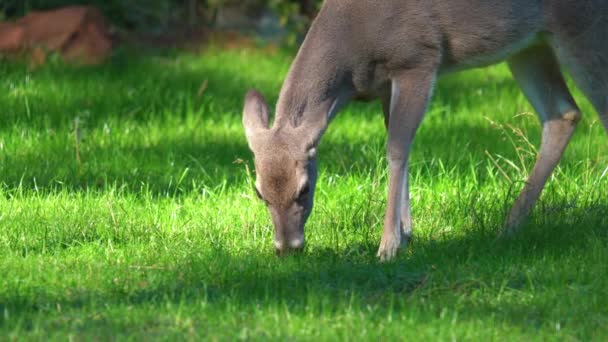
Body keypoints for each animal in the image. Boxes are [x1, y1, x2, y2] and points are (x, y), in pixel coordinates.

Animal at [242, 0, 608, 262]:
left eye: (304, 189)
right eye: (259, 192)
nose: (287, 247)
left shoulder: (417, 58)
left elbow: (396, 148)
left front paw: (388, 246)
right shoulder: (385, 85)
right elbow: (400, 146)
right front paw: (406, 234)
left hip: (581, 25)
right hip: (528, 45)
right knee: (563, 113)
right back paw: (509, 225)